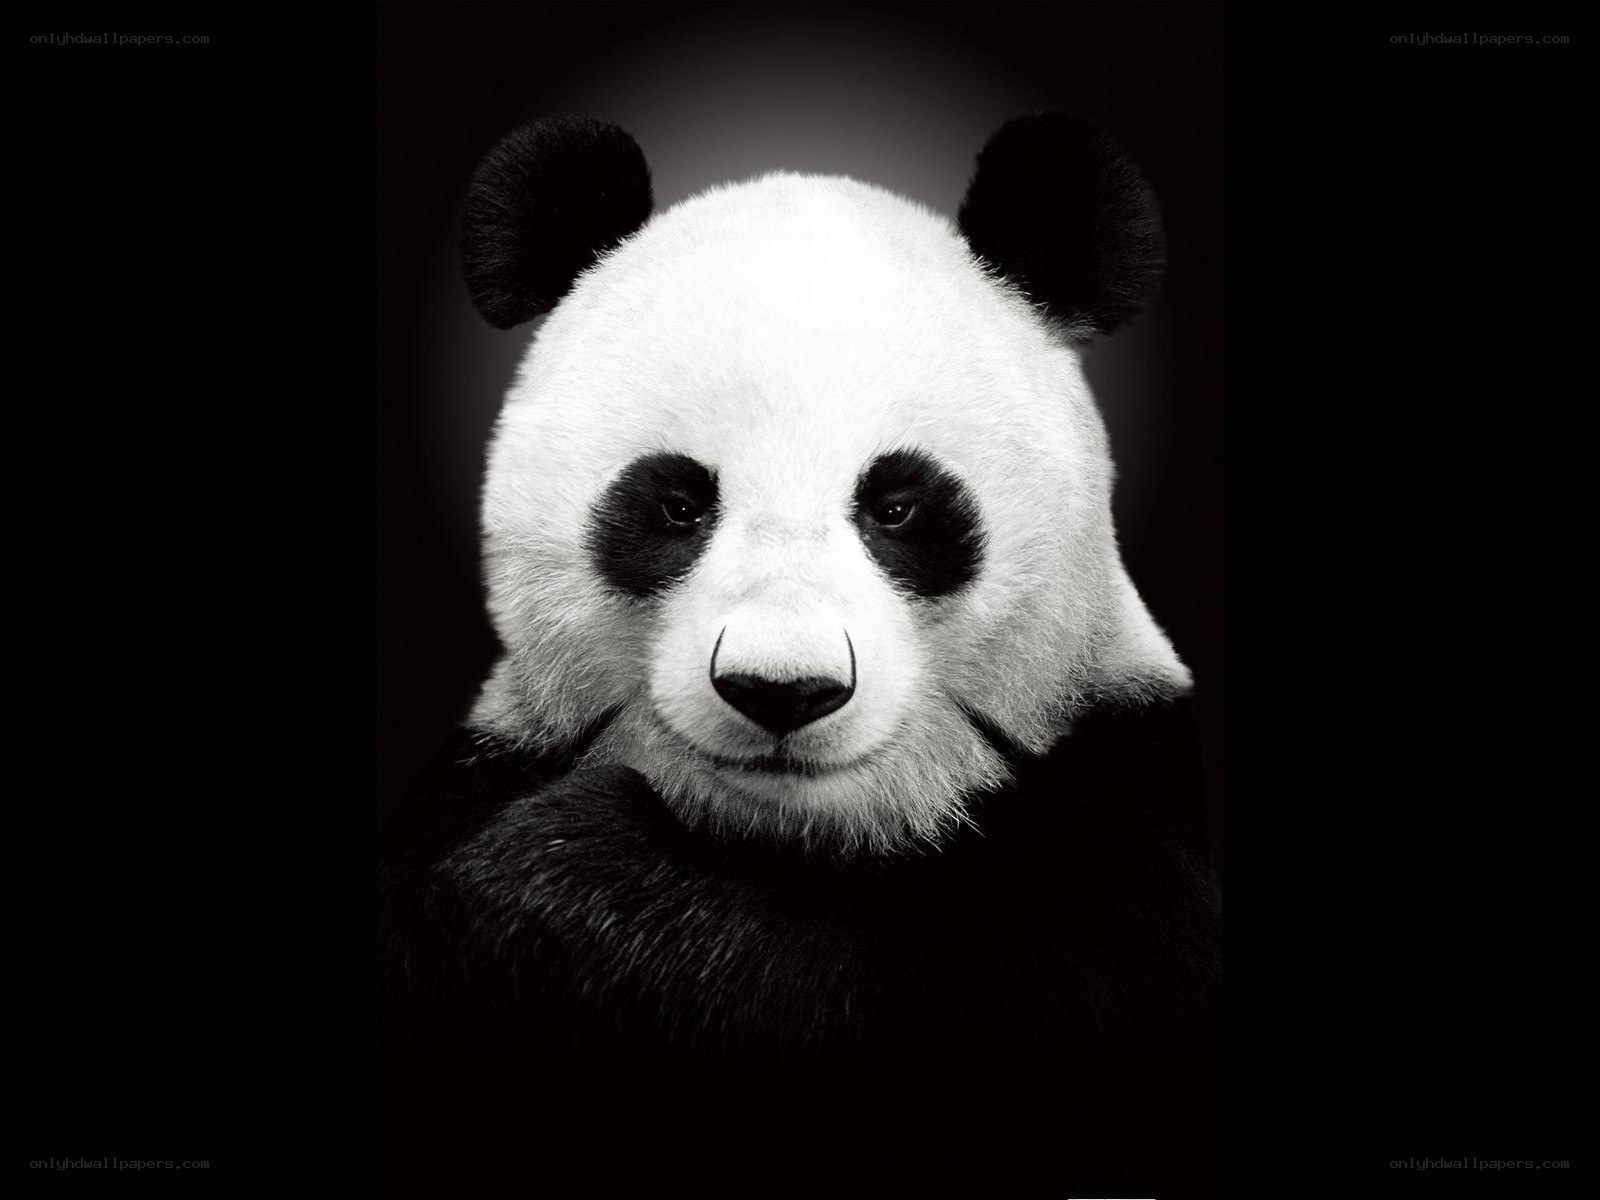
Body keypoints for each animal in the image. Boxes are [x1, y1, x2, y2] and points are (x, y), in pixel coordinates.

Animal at [379, 113, 1220, 1196]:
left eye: (897, 506)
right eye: (677, 504)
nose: (783, 691)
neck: (792, 842)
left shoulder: (1126, 819)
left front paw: (564, 883)